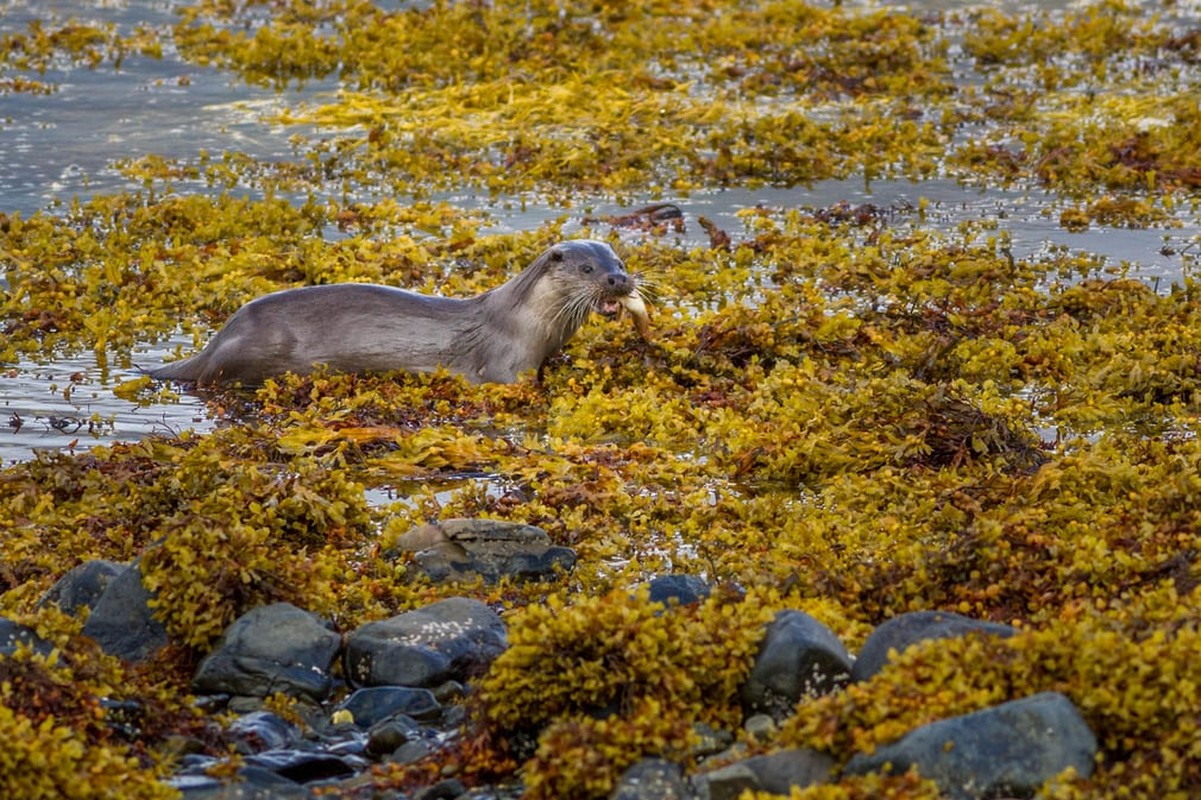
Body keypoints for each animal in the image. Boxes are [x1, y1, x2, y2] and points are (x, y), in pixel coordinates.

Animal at [151, 237, 658, 384]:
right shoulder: (506, 367)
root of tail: (219, 337)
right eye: (589, 268)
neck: (527, 321)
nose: (619, 281)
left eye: (620, 262)